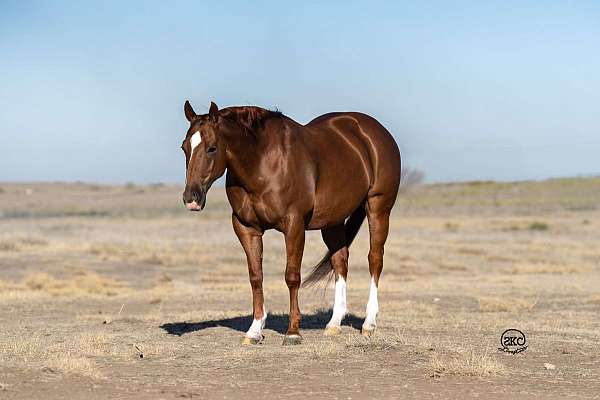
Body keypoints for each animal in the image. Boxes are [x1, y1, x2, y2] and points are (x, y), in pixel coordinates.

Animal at [180, 100, 400, 344]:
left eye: (211, 148)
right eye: (184, 147)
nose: (191, 198)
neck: (262, 162)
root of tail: (373, 131)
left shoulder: (294, 225)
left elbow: (292, 276)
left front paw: (293, 331)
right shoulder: (246, 228)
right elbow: (256, 277)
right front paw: (254, 330)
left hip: (378, 209)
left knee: (375, 259)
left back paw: (369, 323)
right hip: (332, 220)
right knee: (340, 261)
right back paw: (334, 323)